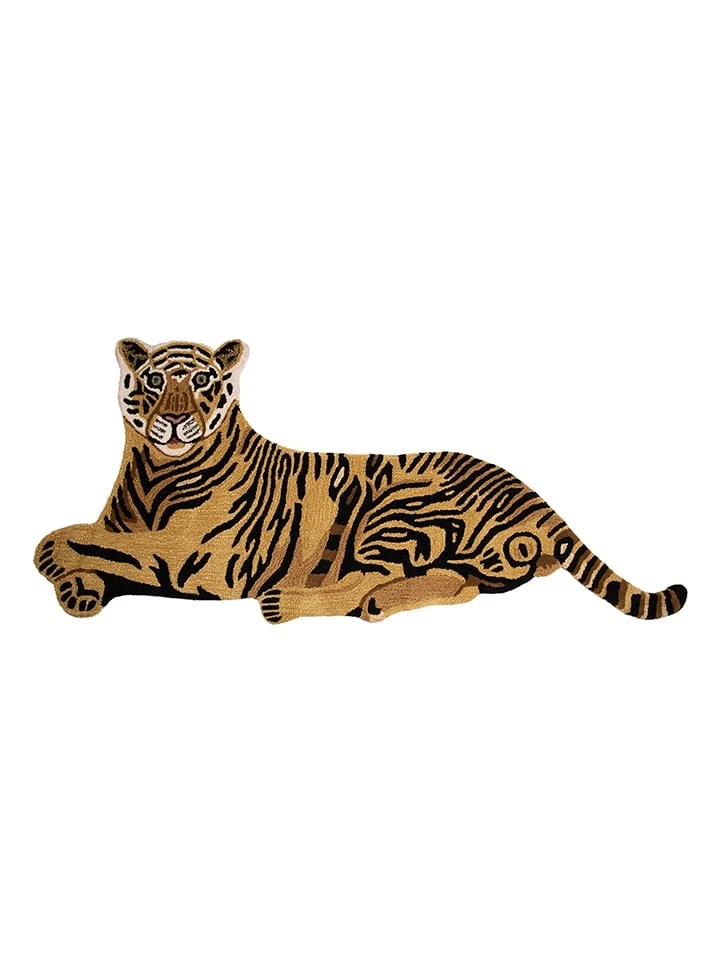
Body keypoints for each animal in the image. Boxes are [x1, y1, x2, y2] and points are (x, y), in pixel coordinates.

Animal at [34, 338, 688, 624]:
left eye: (200, 384)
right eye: (153, 382)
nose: (173, 421)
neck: (154, 468)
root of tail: (530, 494)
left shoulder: (197, 556)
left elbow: (69, 539)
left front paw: (72, 575)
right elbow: (86, 542)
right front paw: (80, 591)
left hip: (393, 512)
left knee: (372, 576)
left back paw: (291, 602)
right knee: (461, 585)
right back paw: (378, 605)